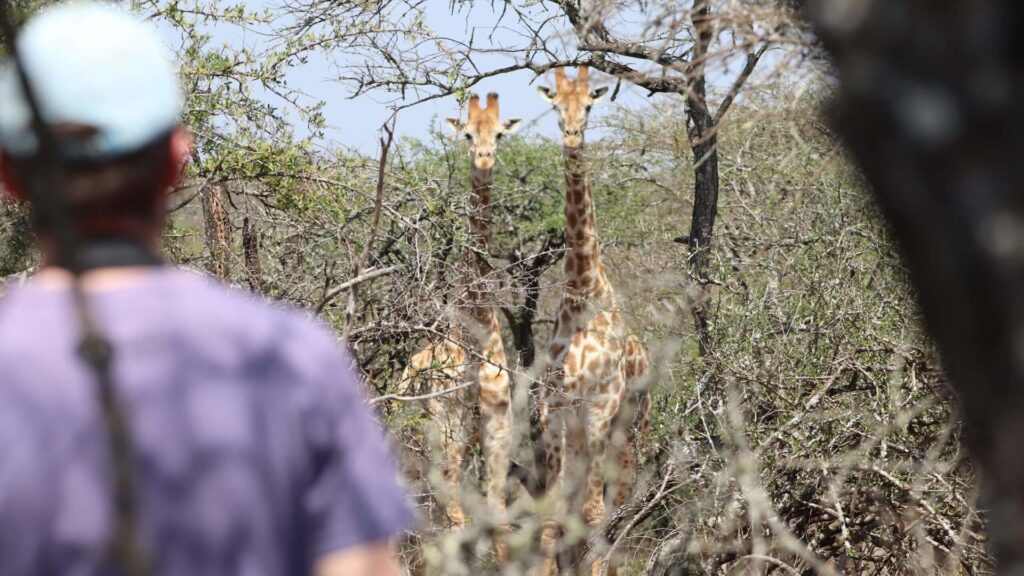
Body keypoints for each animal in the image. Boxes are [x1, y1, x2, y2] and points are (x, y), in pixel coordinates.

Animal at [399, 92, 521, 566]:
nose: (484, 159)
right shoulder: (447, 424)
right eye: (467, 133)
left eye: (500, 133)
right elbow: (458, 522)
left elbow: (499, 523)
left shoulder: (498, 426)